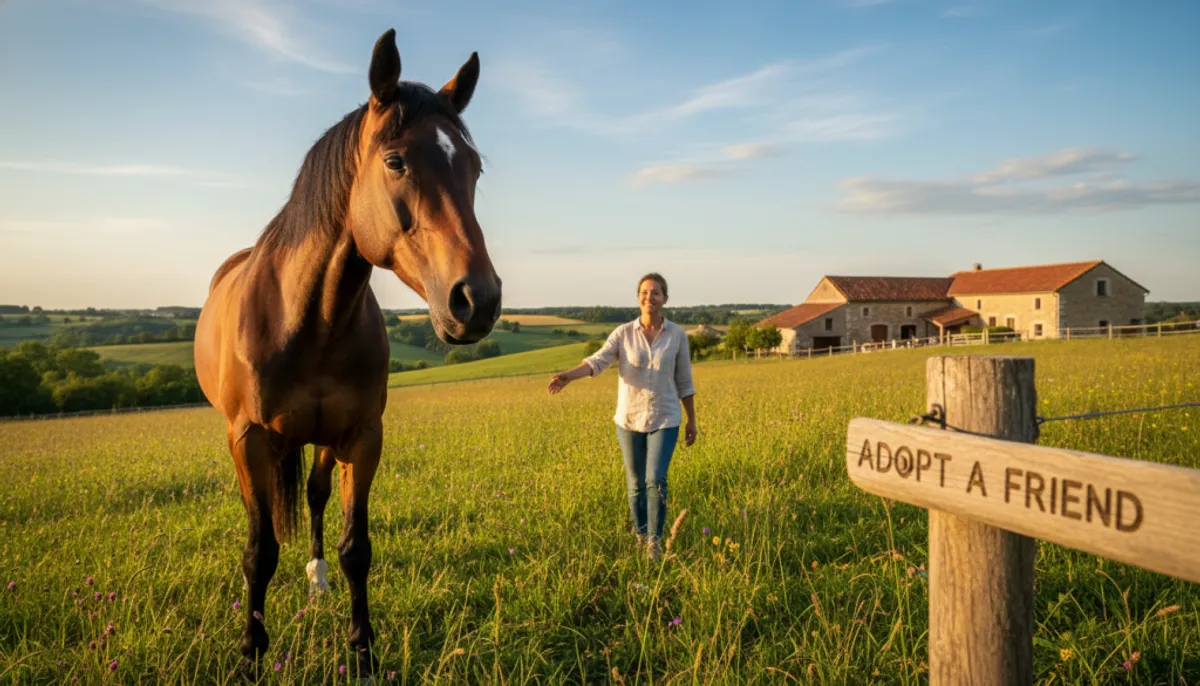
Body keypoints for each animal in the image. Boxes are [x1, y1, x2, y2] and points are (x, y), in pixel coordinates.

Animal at [193, 28, 501, 677]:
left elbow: (355, 547)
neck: (310, 318)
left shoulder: (362, 436)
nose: (478, 300)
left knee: (313, 496)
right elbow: (259, 552)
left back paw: (316, 577)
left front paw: (362, 650)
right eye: (396, 161)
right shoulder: (250, 438)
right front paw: (251, 655)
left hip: (322, 440)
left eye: (475, 166)